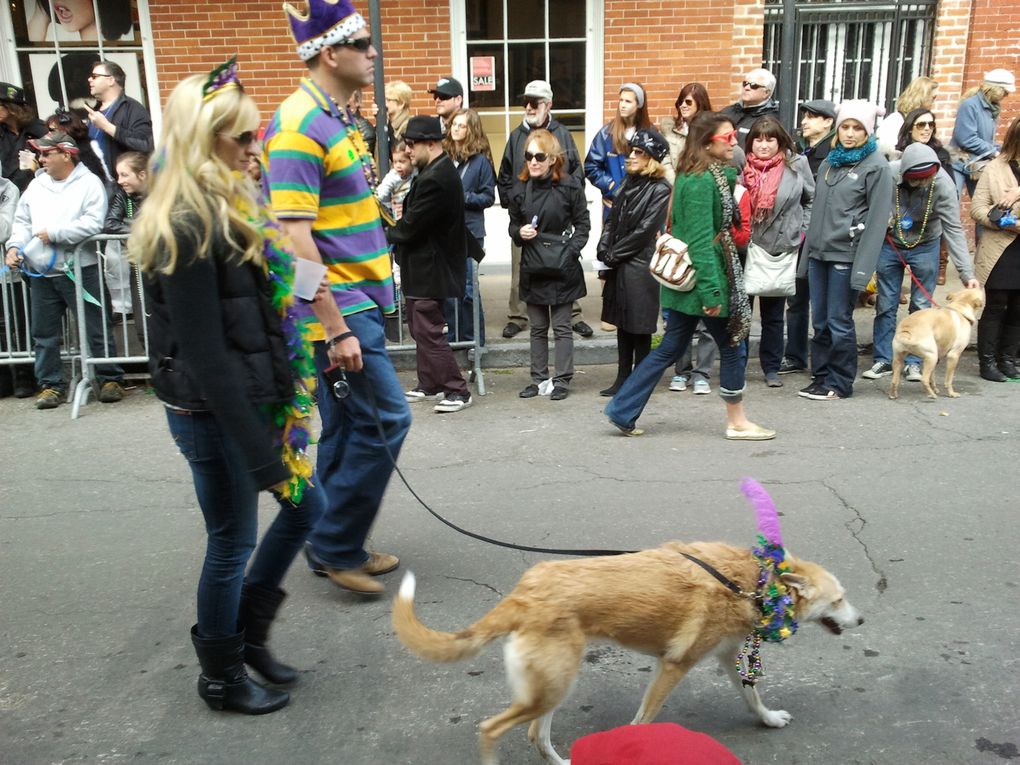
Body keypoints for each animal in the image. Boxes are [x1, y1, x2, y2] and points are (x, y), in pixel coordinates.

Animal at [389, 542, 860, 762]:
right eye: (839, 600)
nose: (860, 620)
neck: (751, 581)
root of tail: (525, 593)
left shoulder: (726, 657)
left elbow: (753, 696)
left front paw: (769, 719)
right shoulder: (673, 666)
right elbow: (643, 720)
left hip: (553, 687)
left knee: (536, 735)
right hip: (552, 687)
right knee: (492, 730)